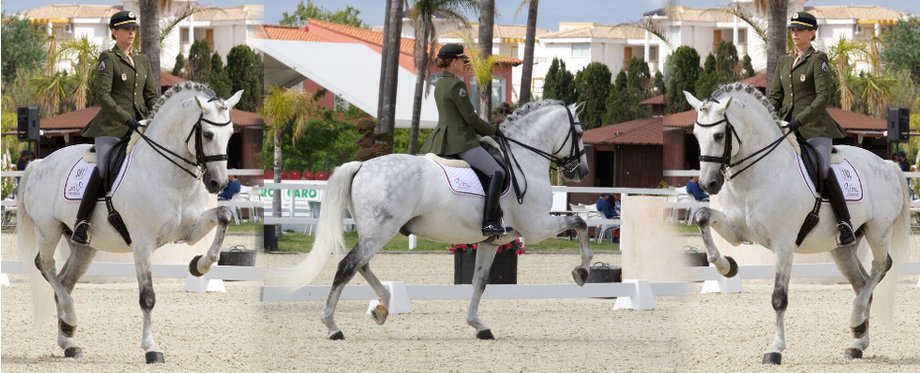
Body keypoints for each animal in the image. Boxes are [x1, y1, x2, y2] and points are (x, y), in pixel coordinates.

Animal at [17, 82, 243, 364]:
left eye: (231, 134)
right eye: (209, 134)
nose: (218, 183)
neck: (169, 174)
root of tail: (39, 163)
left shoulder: (189, 231)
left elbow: (223, 214)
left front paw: (199, 266)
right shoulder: (143, 244)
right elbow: (147, 297)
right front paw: (151, 348)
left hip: (84, 247)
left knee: (64, 281)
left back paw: (69, 340)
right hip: (48, 230)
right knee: (45, 265)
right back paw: (70, 318)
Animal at [280, 100, 592, 338]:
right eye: (579, 132)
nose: (583, 171)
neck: (523, 158)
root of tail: (361, 166)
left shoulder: (493, 241)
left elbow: (479, 282)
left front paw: (478, 326)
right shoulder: (536, 226)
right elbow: (580, 223)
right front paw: (582, 271)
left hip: (374, 232)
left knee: (361, 265)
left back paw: (381, 307)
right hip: (380, 231)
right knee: (348, 266)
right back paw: (332, 326)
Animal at [684, 83, 904, 364]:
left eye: (720, 135)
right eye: (696, 135)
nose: (708, 184)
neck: (755, 176)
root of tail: (886, 164)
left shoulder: (783, 245)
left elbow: (779, 298)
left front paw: (775, 349)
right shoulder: (737, 233)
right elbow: (702, 215)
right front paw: (726, 266)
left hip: (879, 231)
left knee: (880, 267)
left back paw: (856, 320)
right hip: (842, 249)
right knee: (862, 283)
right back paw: (857, 342)